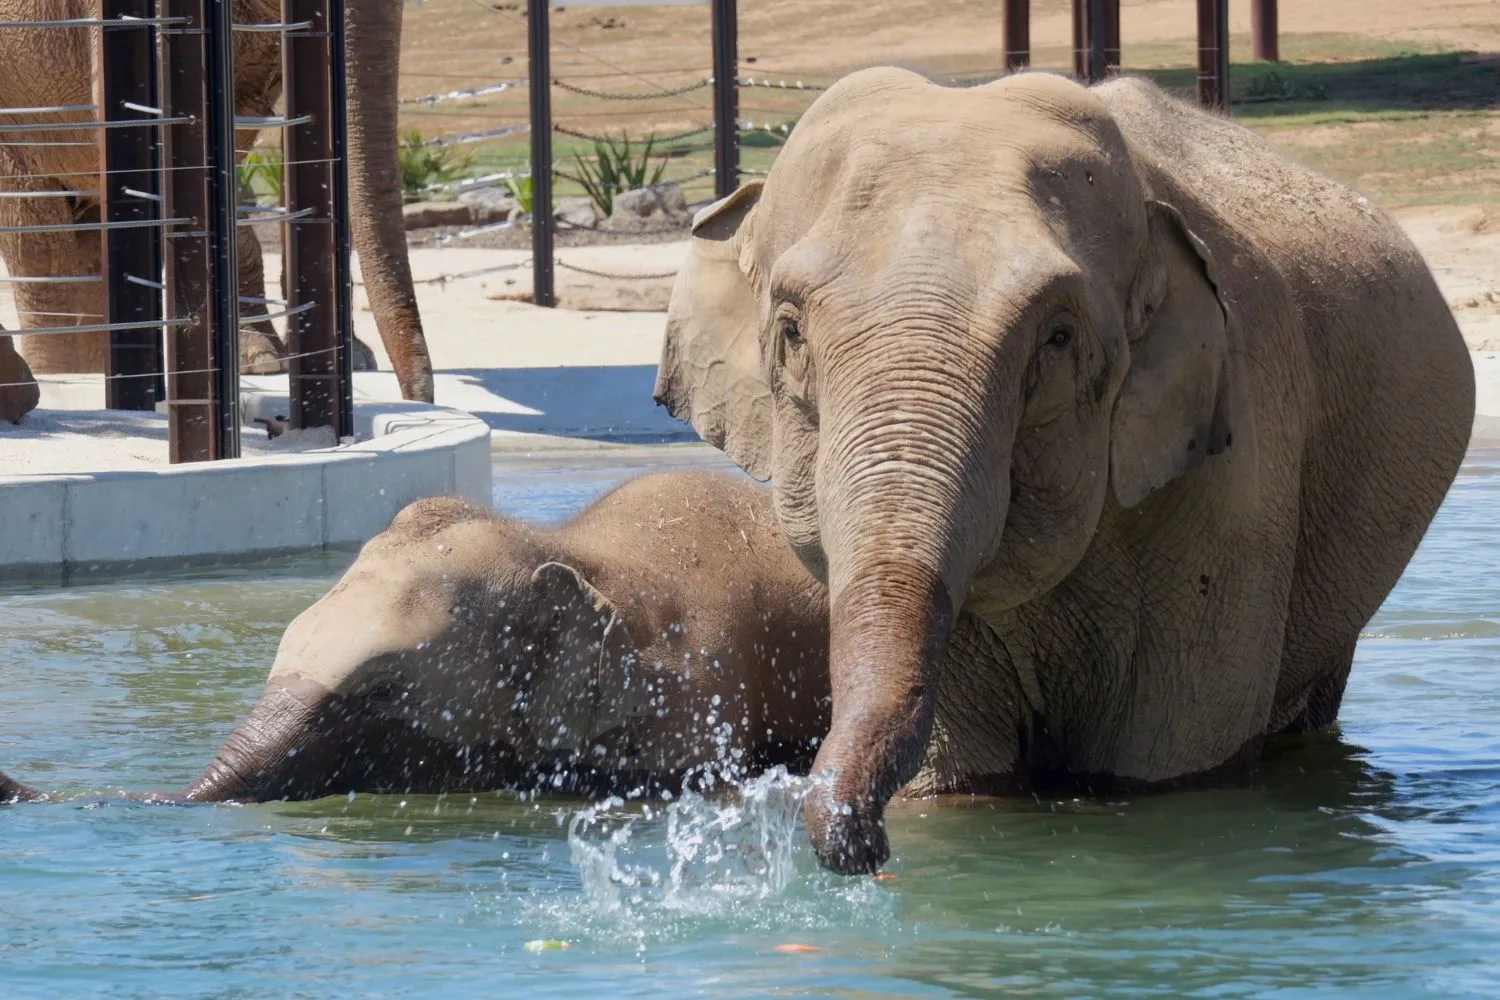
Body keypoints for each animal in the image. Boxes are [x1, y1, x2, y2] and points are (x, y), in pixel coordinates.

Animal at [653, 68, 1475, 874]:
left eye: (1057, 338)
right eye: (791, 332)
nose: (867, 845)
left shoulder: (1241, 486)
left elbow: (1166, 767)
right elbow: (967, 778)